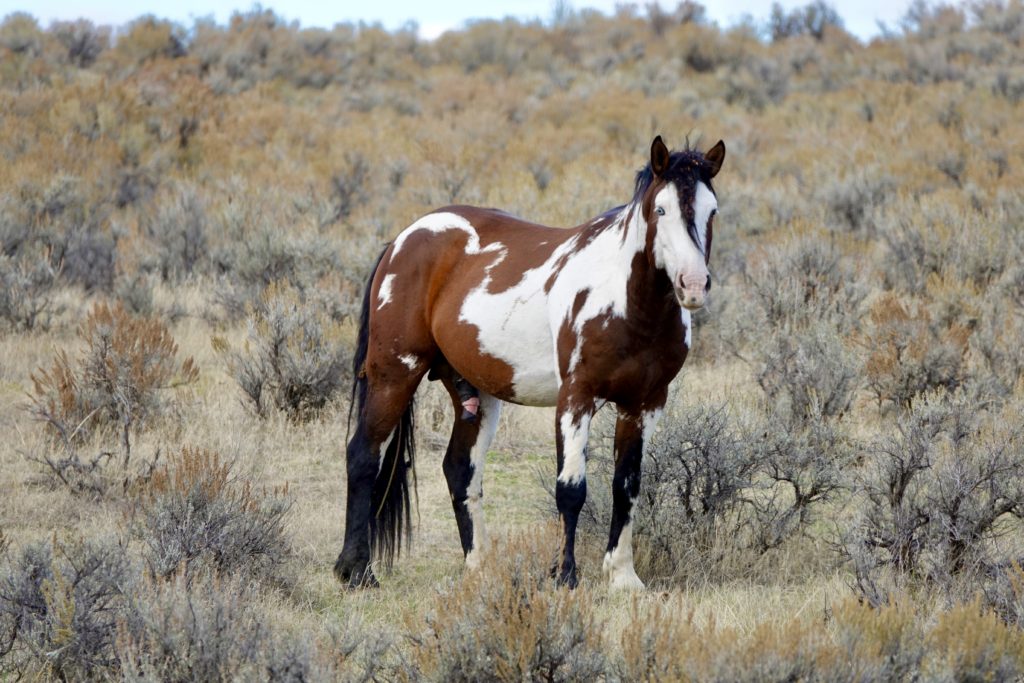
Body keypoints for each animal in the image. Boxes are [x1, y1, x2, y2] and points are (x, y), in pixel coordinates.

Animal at [334, 135, 725, 589]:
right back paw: (355, 570)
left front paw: (623, 576)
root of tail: (402, 239)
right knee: (363, 457)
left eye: (711, 210)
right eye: (661, 210)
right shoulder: (576, 398)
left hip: (476, 393)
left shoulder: (644, 404)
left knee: (460, 470)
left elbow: (626, 487)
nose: (693, 286)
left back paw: (479, 567)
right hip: (395, 374)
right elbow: (571, 490)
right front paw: (564, 576)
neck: (628, 303)